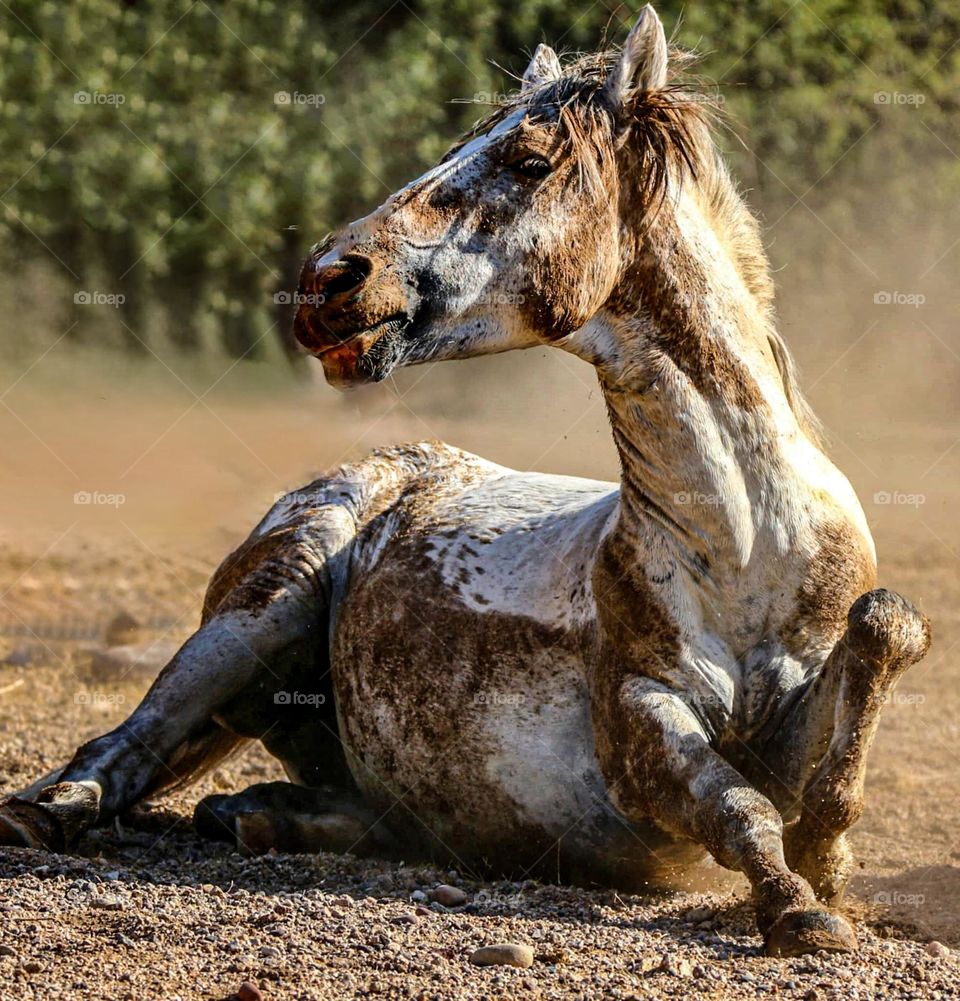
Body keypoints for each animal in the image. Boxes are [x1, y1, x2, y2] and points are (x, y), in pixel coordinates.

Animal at [0, 6, 929, 958]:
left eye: (530, 159)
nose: (327, 279)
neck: (748, 544)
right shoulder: (641, 716)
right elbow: (738, 806)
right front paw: (800, 906)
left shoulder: (795, 706)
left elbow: (884, 626)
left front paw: (826, 851)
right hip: (255, 616)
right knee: (127, 746)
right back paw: (51, 812)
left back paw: (259, 814)